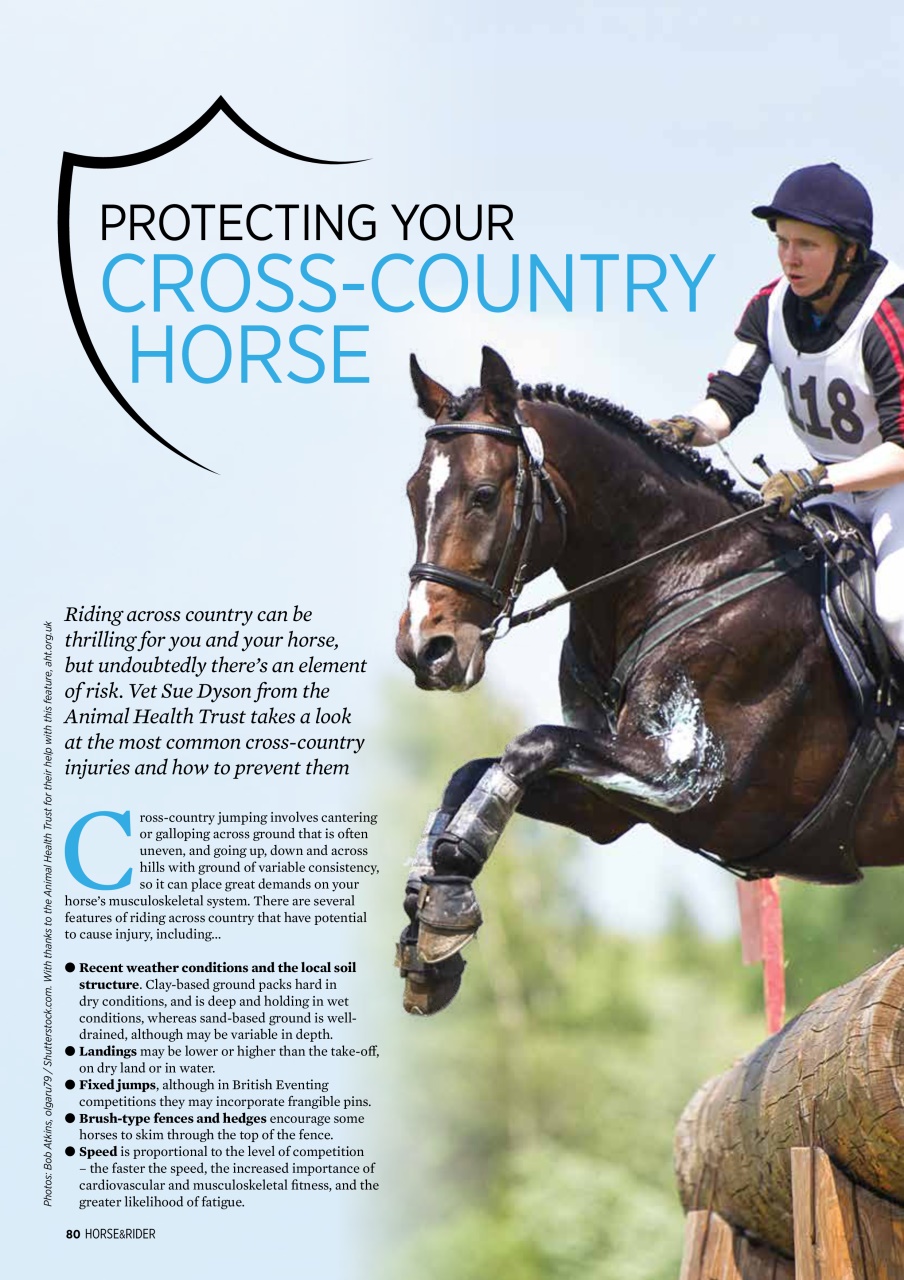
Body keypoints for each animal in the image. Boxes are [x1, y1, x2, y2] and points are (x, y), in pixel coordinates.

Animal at [394, 346, 904, 1015]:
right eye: (412, 493)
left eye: (482, 495)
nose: (425, 649)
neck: (684, 571)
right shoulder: (606, 801)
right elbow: (472, 772)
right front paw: (429, 911)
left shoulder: (697, 783)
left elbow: (530, 744)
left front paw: (447, 891)